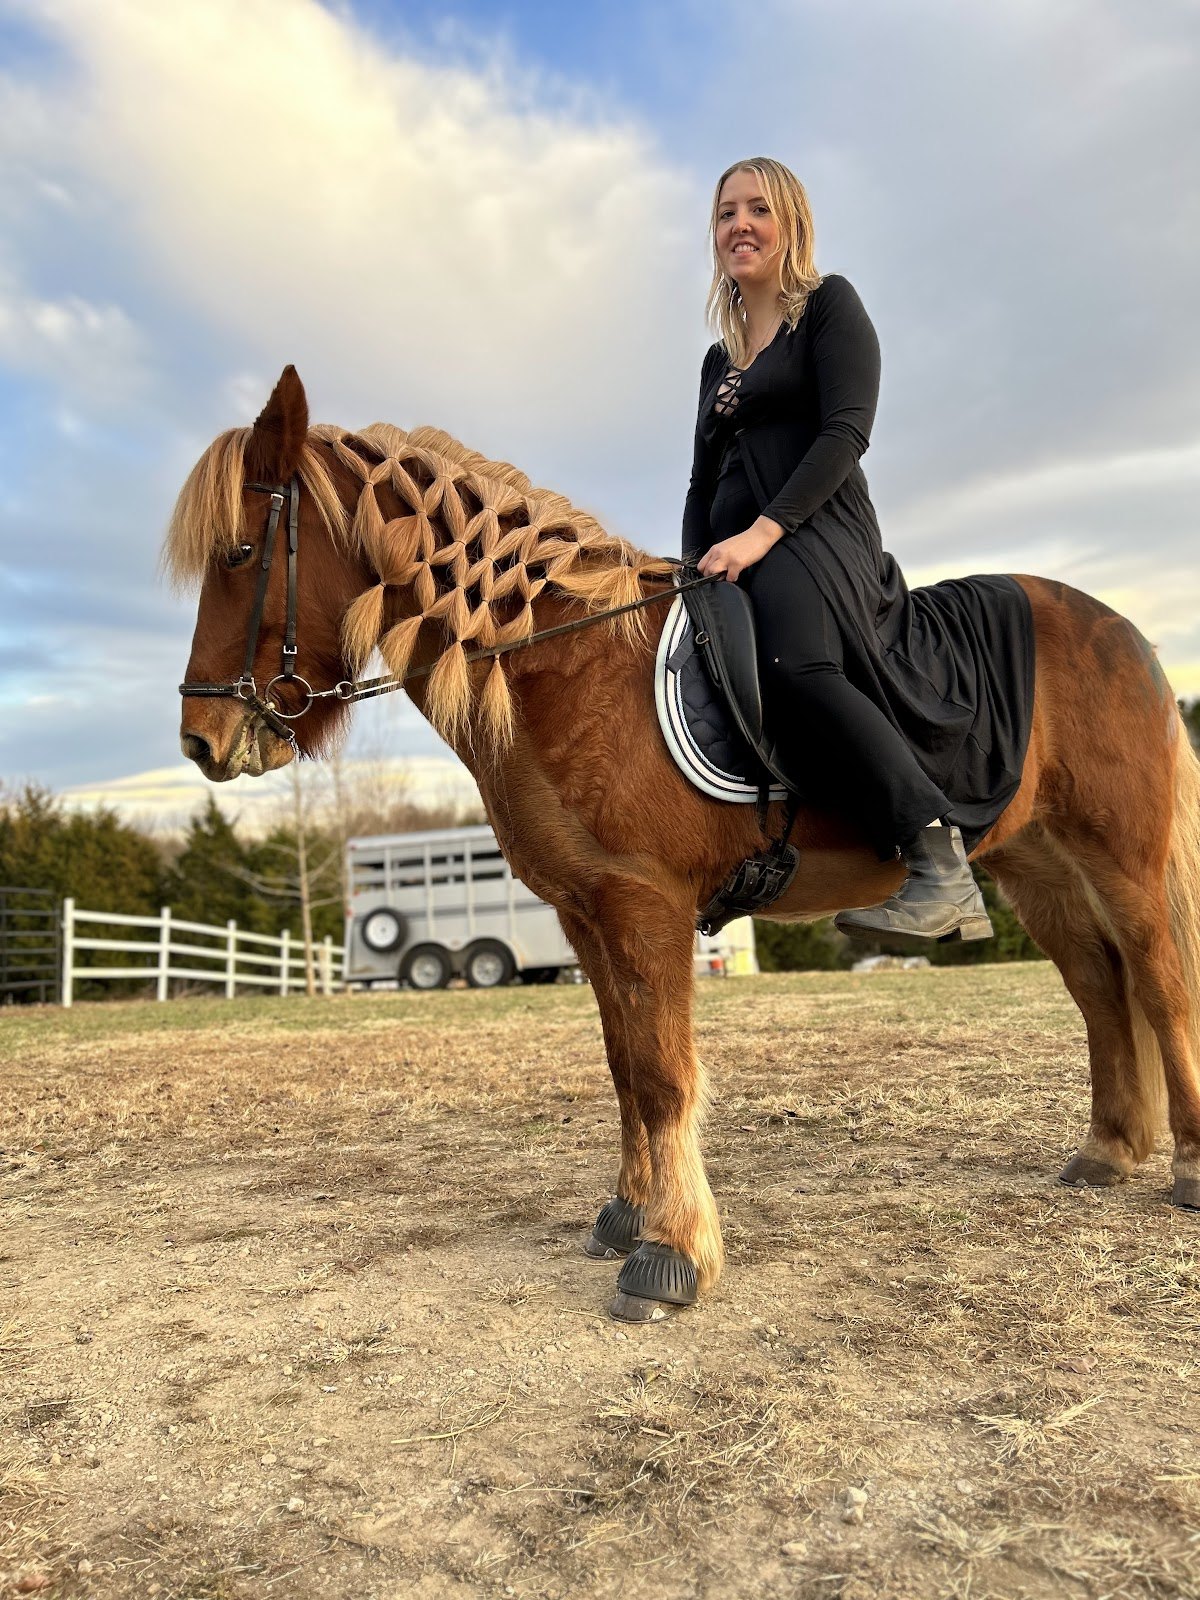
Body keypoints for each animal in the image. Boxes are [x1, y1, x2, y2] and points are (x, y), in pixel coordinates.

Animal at [168, 365, 1200, 1321]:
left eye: (241, 550)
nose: (203, 741)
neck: (565, 663)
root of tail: (1126, 632)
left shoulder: (644, 904)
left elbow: (664, 1078)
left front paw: (671, 1258)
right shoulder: (587, 915)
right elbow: (625, 1068)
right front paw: (629, 1217)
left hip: (1123, 858)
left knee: (1157, 980)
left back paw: (1186, 1166)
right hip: (1040, 868)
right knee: (1100, 987)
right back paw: (1108, 1151)